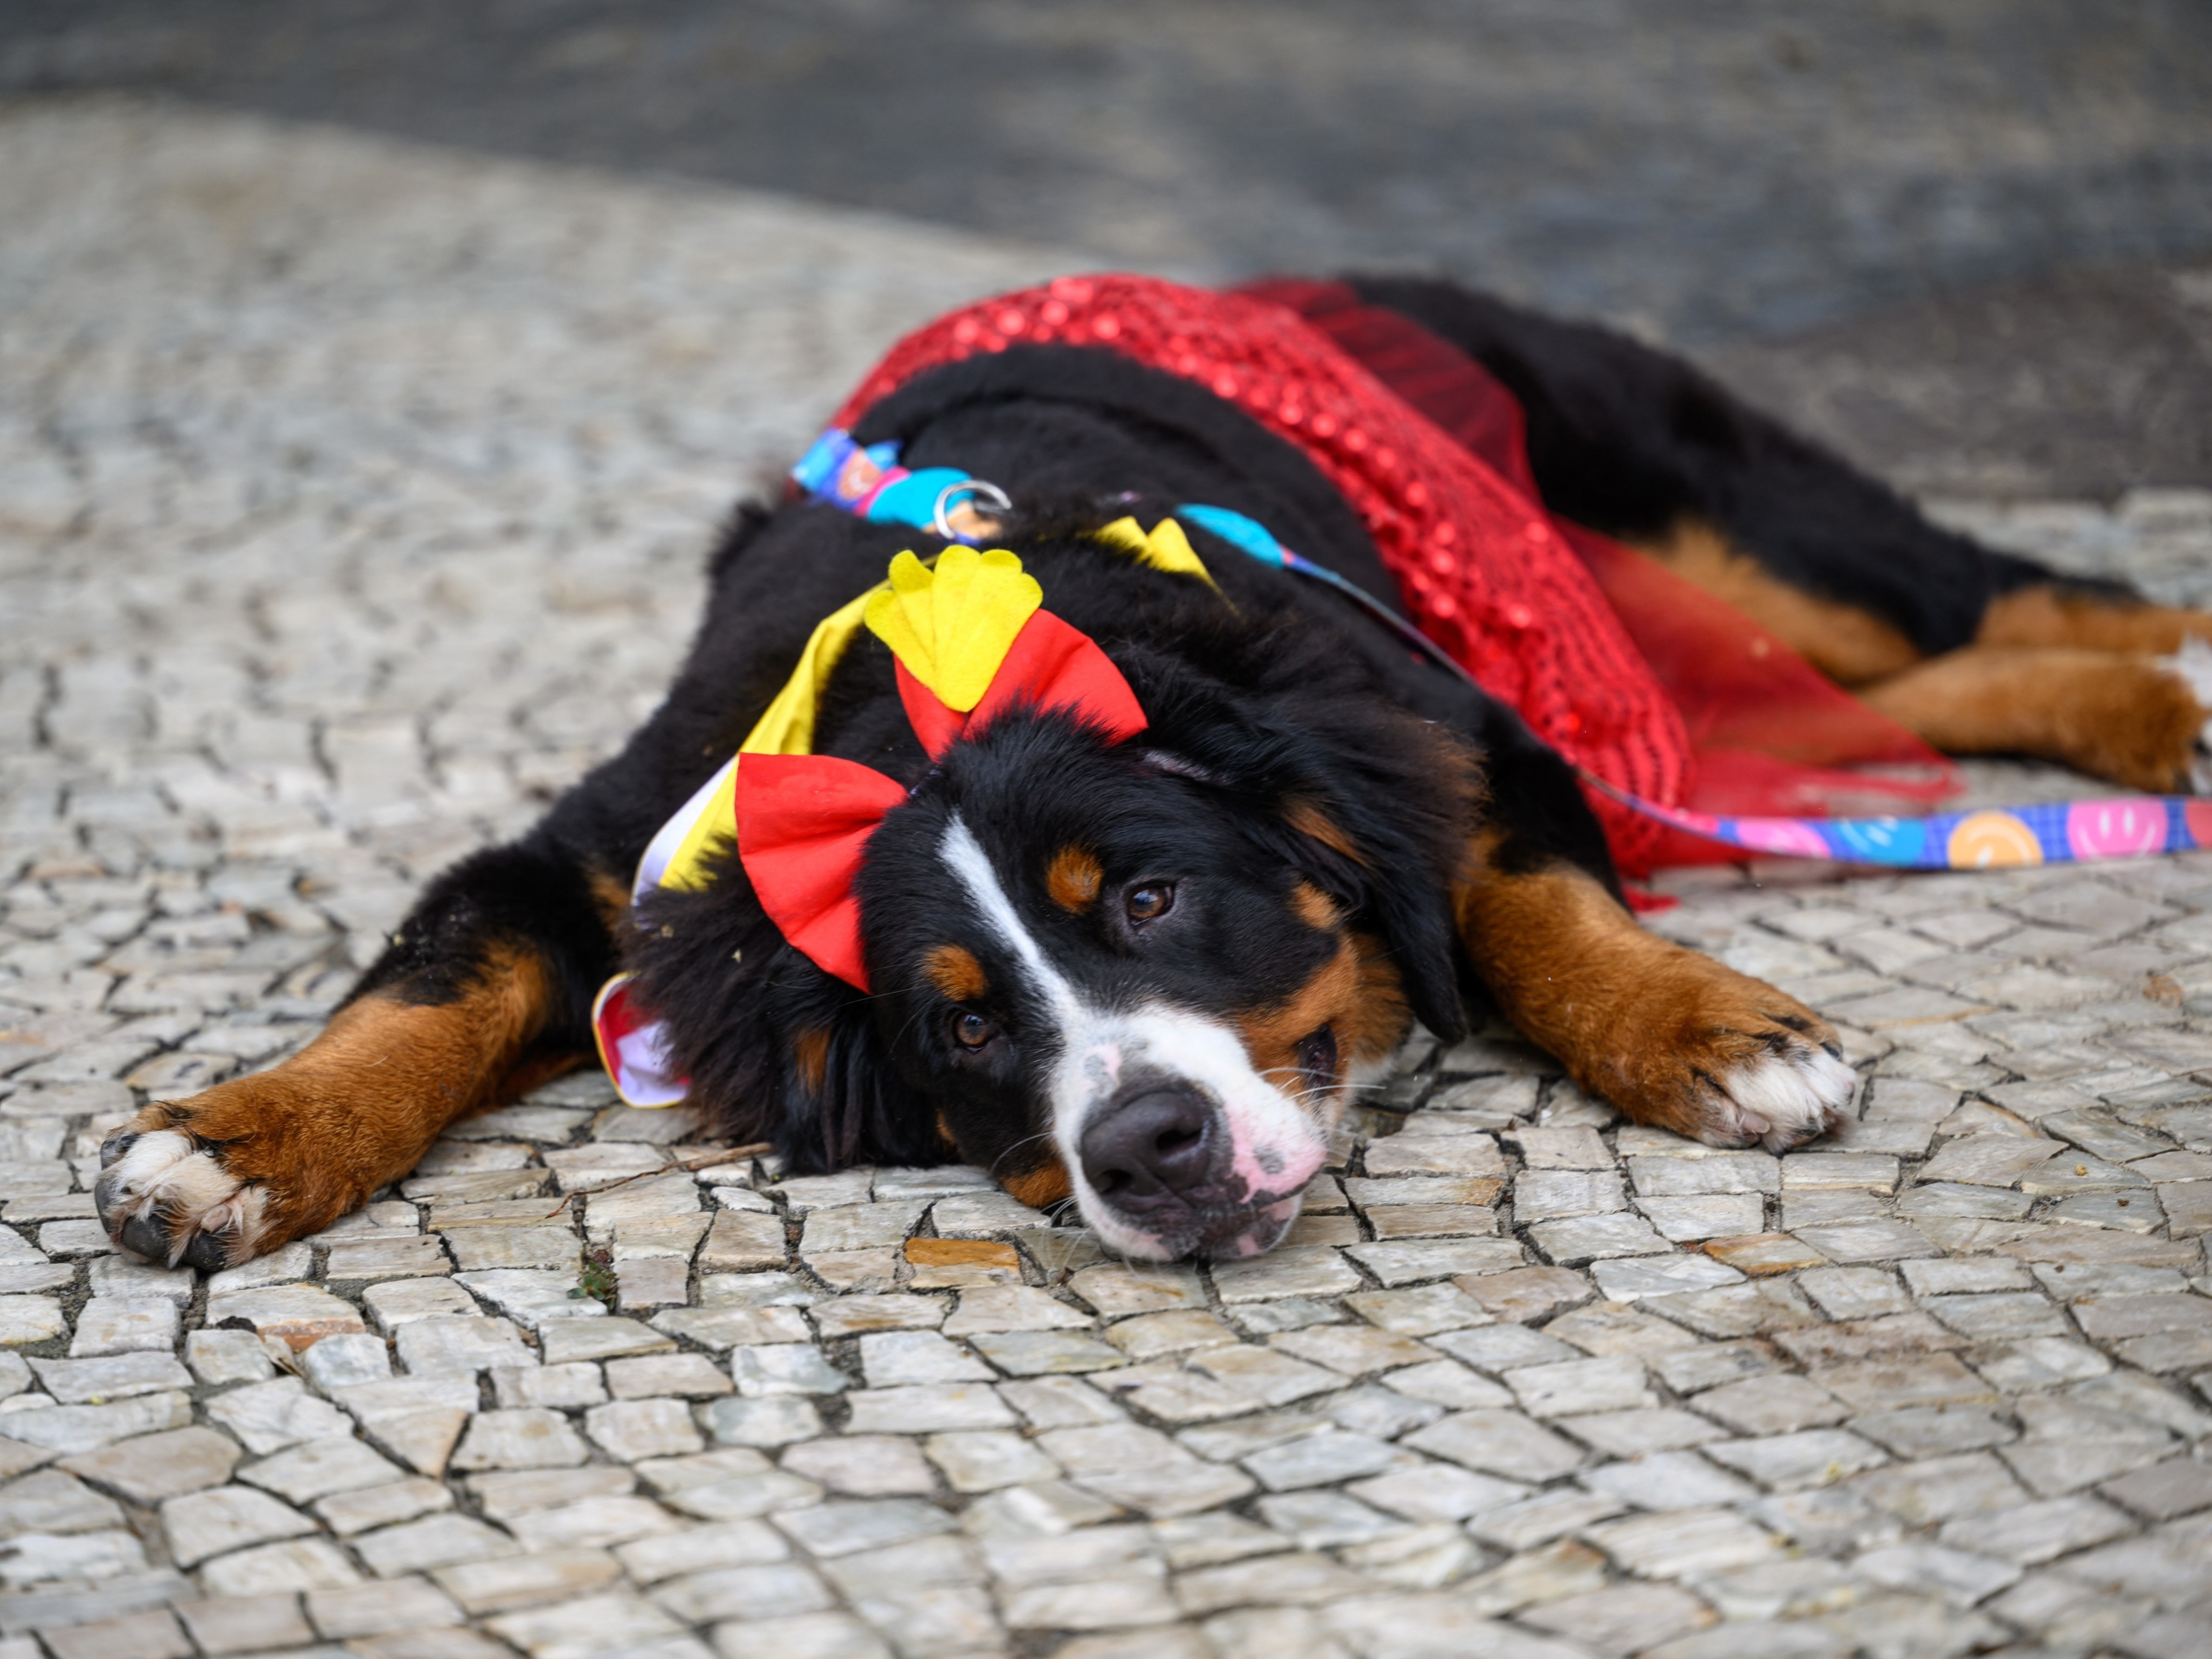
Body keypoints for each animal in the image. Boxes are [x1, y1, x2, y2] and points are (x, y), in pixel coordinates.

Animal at [95, 283, 2212, 1274]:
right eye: (955, 1029)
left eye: (1148, 896)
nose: (1152, 1149)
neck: (959, 635)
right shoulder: (618, 849)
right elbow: (438, 982)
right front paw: (242, 1138)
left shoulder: (1450, 721)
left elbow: (1529, 905)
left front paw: (1712, 1029)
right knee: (1905, 681)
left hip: (1708, 512)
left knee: (1980, 598)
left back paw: (2173, 683)